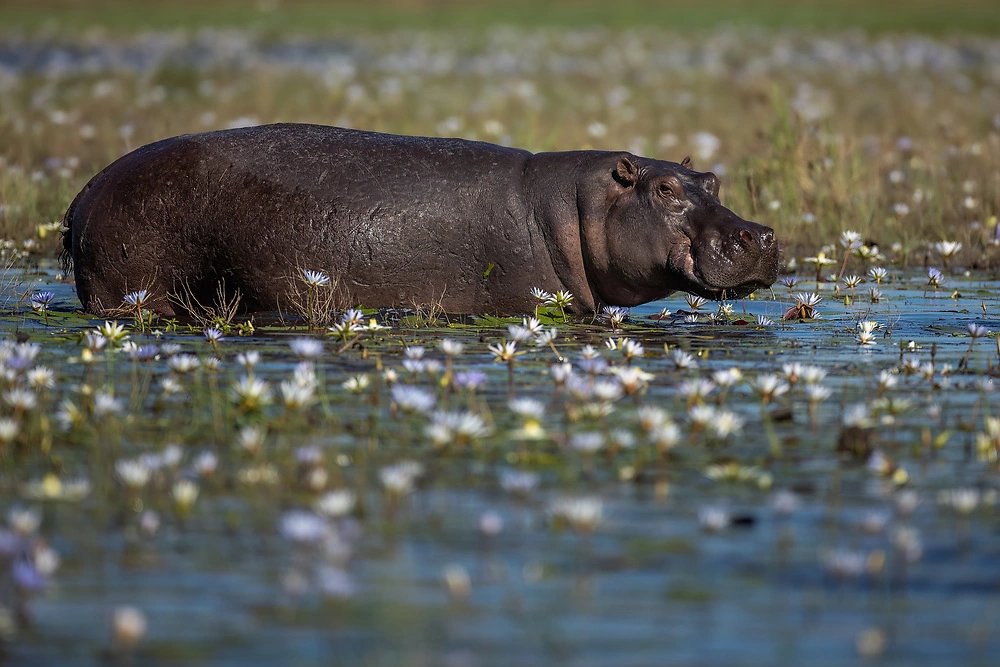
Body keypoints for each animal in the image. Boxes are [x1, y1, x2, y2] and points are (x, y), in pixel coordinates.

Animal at [60, 124, 780, 318]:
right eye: (664, 188)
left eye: (711, 181)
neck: (573, 206)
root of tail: (84, 189)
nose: (762, 234)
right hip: (134, 288)